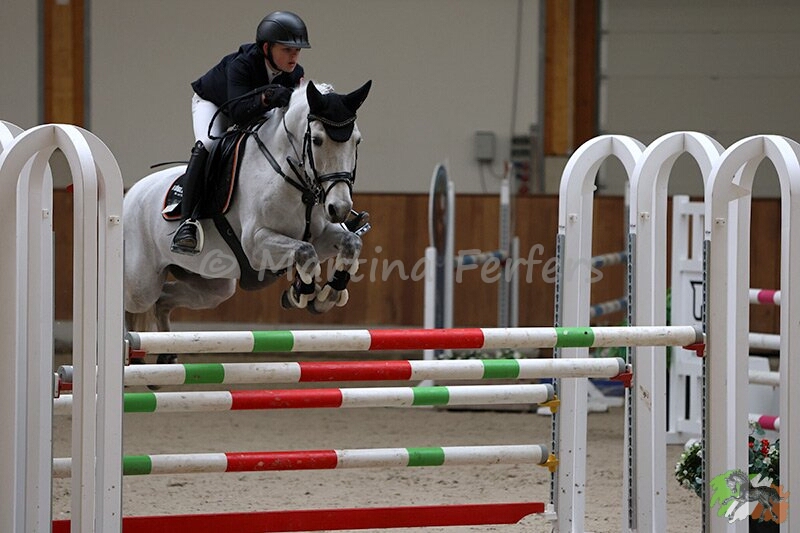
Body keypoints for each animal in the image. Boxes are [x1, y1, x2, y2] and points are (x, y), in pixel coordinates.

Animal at [123, 80, 372, 359]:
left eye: (357, 141)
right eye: (317, 140)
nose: (339, 208)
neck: (296, 182)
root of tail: (131, 194)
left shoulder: (322, 236)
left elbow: (349, 244)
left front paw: (325, 296)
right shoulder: (256, 244)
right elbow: (305, 252)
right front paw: (302, 294)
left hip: (212, 286)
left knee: (164, 299)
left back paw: (166, 352)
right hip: (141, 285)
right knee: (131, 303)